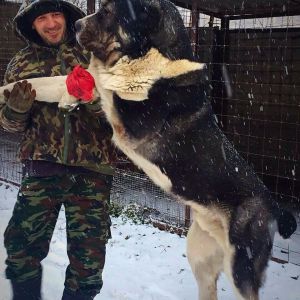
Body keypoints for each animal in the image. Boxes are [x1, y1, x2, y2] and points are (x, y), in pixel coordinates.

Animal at [0, 0, 298, 300]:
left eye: (107, 13)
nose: (76, 25)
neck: (148, 54)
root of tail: (274, 205)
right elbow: (47, 83)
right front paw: (16, 91)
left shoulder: (132, 122)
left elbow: (105, 84)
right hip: (200, 254)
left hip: (240, 266)